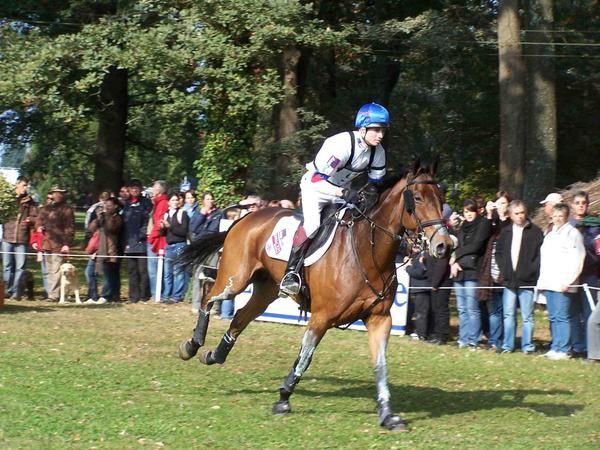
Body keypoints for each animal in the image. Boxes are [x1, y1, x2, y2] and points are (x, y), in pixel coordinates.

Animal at [177, 158, 450, 432]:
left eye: (441, 197)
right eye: (418, 197)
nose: (445, 245)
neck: (366, 251)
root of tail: (245, 217)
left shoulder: (379, 319)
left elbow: (380, 366)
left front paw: (388, 415)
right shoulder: (322, 317)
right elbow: (305, 356)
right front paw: (283, 399)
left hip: (266, 289)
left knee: (241, 317)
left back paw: (215, 355)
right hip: (235, 278)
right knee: (208, 298)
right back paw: (191, 345)